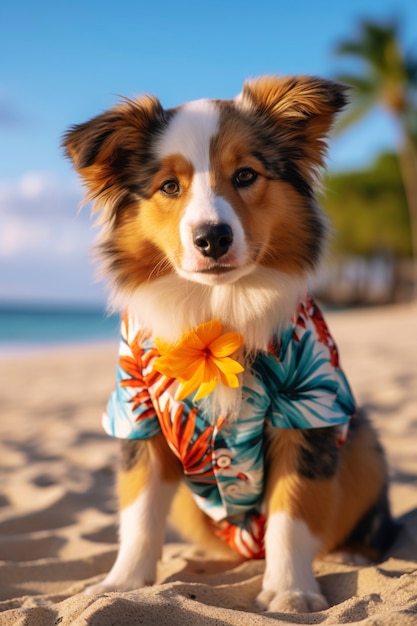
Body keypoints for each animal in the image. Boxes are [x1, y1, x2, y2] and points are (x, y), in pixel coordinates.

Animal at [62, 75, 394, 612]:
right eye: (169, 186)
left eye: (245, 175)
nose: (212, 238)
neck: (217, 310)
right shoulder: (138, 414)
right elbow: (139, 512)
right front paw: (122, 582)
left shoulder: (309, 409)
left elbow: (292, 513)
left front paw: (291, 591)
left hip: (361, 439)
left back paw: (353, 555)